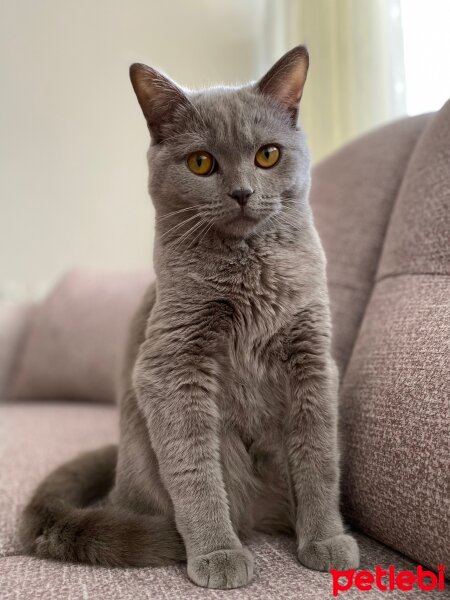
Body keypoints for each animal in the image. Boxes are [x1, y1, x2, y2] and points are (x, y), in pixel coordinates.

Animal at [20, 47, 358, 592]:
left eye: (268, 155)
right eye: (201, 162)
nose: (242, 192)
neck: (249, 275)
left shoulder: (311, 359)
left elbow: (319, 459)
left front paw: (325, 541)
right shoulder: (172, 366)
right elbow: (196, 471)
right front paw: (219, 553)